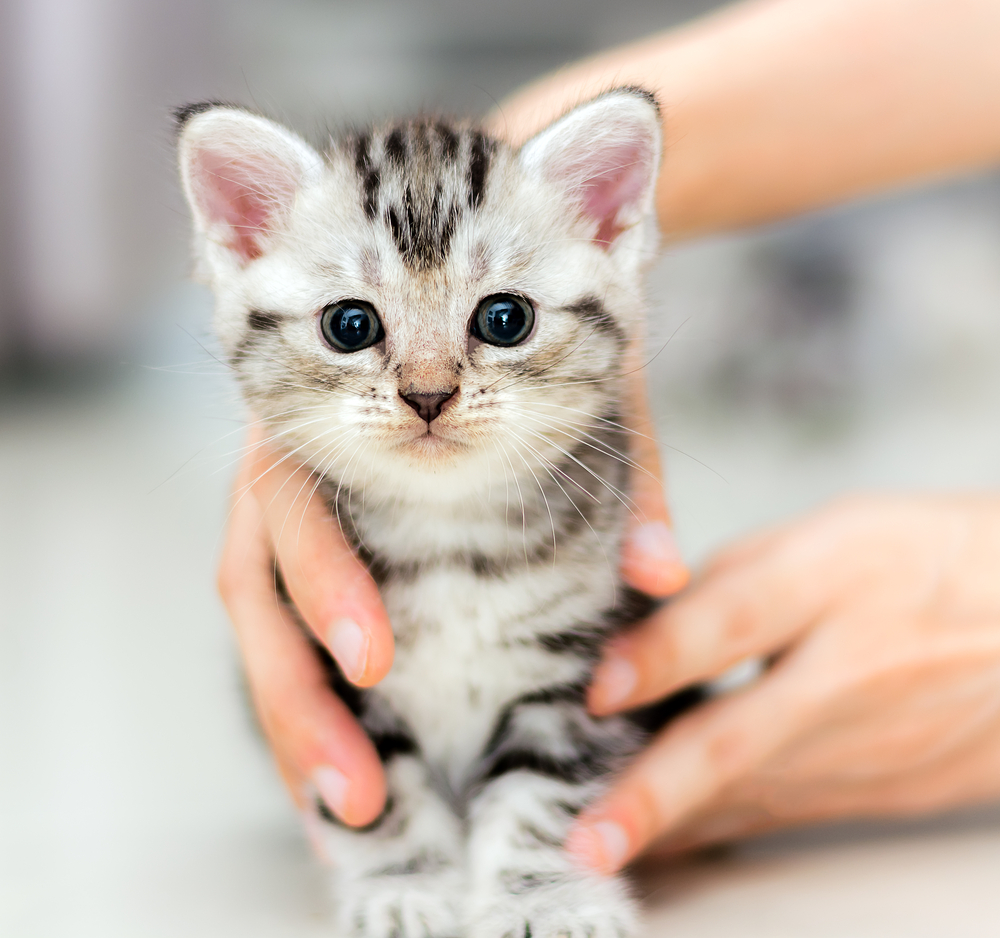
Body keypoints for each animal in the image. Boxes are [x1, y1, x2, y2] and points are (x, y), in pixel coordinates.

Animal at [178, 91, 688, 936]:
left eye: (505, 319)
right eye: (350, 324)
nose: (426, 394)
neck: (448, 538)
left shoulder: (578, 665)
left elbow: (543, 788)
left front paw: (544, 895)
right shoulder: (334, 669)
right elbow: (381, 792)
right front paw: (406, 885)